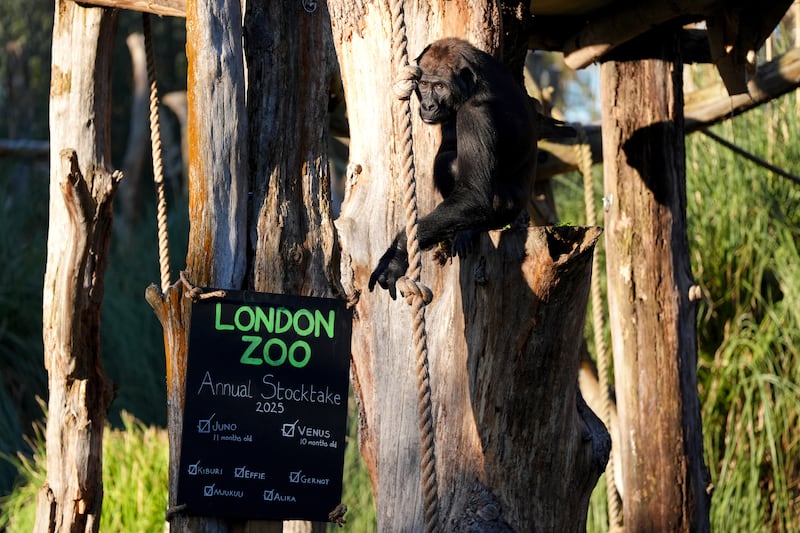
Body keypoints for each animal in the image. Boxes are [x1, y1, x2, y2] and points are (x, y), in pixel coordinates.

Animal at [368, 36, 536, 300]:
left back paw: (471, 230)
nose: (428, 105)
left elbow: (473, 194)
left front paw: (397, 253)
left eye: (439, 86)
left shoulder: (476, 114)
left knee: (453, 167)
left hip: (506, 209)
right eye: (424, 84)